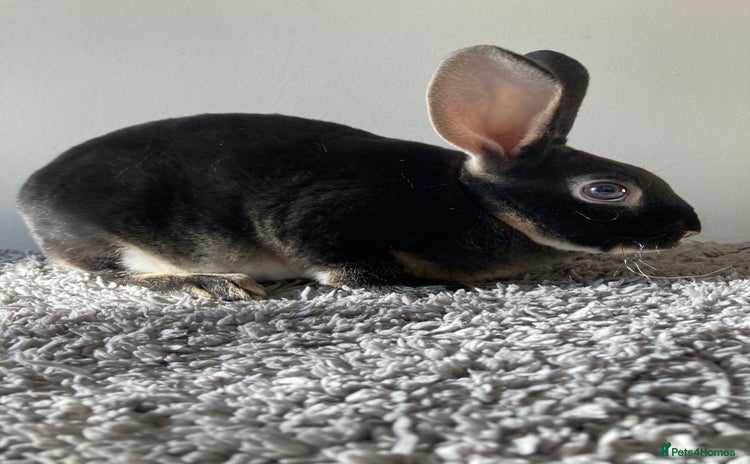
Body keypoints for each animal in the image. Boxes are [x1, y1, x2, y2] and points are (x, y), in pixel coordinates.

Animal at [18, 45, 701, 300]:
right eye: (607, 190)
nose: (691, 227)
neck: (475, 202)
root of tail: (32, 191)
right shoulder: (324, 220)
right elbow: (345, 266)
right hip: (115, 242)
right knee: (110, 275)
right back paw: (218, 283)